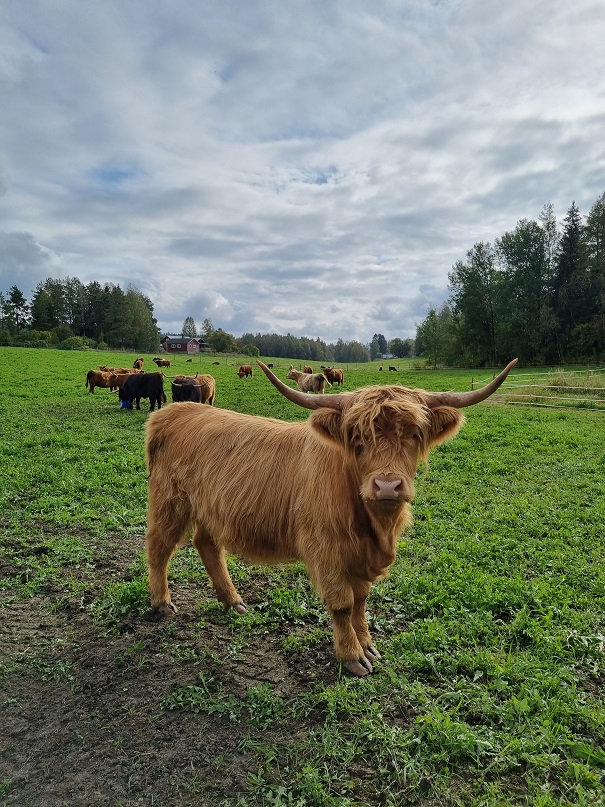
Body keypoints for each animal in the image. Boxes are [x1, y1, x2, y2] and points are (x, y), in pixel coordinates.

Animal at [144, 358, 517, 676]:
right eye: (358, 438)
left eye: (414, 434)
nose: (387, 485)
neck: (373, 526)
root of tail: (174, 411)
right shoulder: (326, 548)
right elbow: (342, 603)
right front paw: (352, 656)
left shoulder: (361, 556)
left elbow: (361, 600)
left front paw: (367, 644)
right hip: (171, 502)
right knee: (159, 549)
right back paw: (163, 603)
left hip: (210, 508)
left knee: (206, 544)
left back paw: (233, 601)